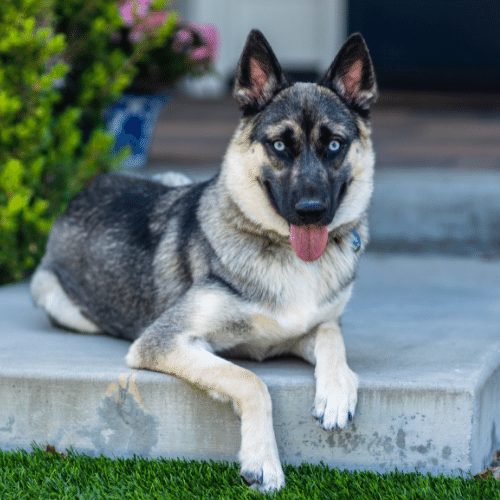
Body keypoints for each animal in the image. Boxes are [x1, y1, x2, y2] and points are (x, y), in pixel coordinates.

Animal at [30, 29, 376, 490]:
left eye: (335, 145)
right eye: (279, 145)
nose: (311, 211)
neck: (284, 249)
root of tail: (86, 189)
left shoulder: (306, 329)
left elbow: (330, 336)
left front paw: (337, 390)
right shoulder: (167, 341)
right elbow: (250, 380)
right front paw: (263, 461)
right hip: (55, 297)